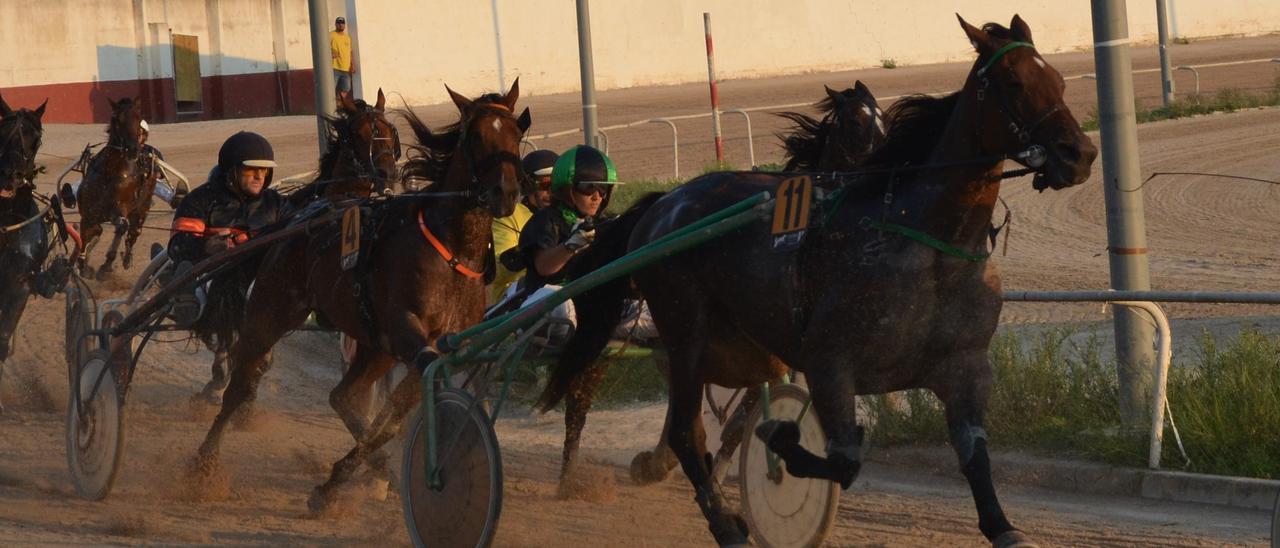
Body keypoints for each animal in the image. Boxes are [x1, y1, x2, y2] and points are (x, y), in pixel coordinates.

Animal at [73, 94, 160, 280]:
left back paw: (124, 258)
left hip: (142, 209)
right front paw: (83, 264)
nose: (133, 149)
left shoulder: (120, 209)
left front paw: (105, 265)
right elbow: (87, 233)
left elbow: (122, 227)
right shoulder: (89, 213)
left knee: (132, 231)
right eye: (117, 120)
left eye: (139, 118)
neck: (109, 174)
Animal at [186, 81, 529, 514]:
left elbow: (395, 415)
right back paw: (203, 465)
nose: (506, 192)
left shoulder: (433, 344)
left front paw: (338, 484)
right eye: (477, 136)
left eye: (515, 133)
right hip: (271, 311)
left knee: (343, 395)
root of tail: (292, 228)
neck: (451, 250)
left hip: (375, 345)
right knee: (240, 386)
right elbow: (397, 411)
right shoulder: (408, 333)